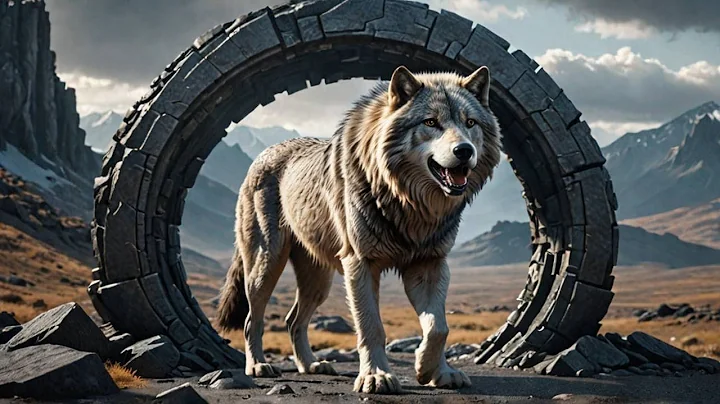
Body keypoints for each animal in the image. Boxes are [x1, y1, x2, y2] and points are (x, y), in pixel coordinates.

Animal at [217, 65, 502, 394]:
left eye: (470, 123)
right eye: (431, 122)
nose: (464, 150)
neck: (409, 204)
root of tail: (262, 156)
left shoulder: (429, 264)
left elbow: (438, 327)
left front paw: (433, 370)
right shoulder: (360, 264)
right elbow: (371, 326)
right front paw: (376, 376)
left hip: (319, 281)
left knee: (292, 320)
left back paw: (311, 365)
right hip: (266, 267)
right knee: (253, 319)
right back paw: (258, 366)